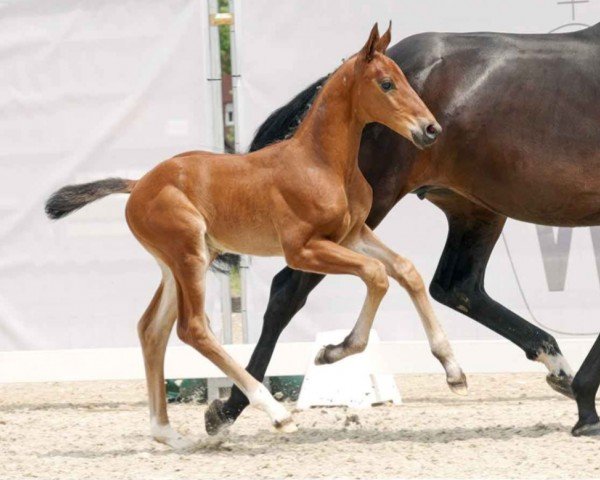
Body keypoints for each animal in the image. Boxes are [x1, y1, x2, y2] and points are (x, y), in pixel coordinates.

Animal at [45, 25, 464, 446]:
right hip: (189, 256)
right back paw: (275, 413)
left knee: (152, 329)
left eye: (405, 79)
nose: (431, 129)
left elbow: (406, 270)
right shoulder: (303, 250)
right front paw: (333, 351)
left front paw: (453, 370)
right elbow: (377, 275)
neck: (322, 163)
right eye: (386, 83)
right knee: (192, 328)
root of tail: (138, 185)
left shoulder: (352, 234)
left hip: (179, 263)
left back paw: (169, 434)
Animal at [210, 22, 600, 436]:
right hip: (369, 211)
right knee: (288, 290)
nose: (429, 129)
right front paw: (587, 410)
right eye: (387, 85)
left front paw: (583, 401)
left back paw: (550, 368)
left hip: (474, 210)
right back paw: (232, 407)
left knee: (456, 286)